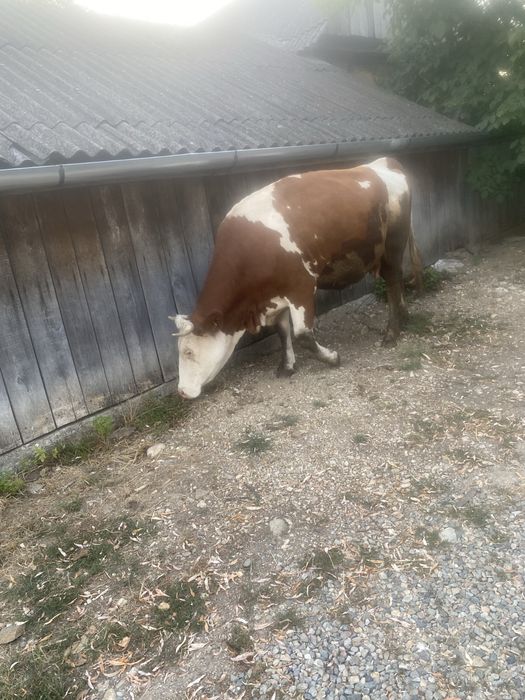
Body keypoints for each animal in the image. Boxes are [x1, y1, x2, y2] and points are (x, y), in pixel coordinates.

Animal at [171, 157, 422, 399]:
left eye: (188, 351)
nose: (182, 391)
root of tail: (381, 162)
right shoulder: (275, 295)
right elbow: (283, 333)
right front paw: (287, 366)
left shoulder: (301, 286)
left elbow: (302, 335)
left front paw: (332, 358)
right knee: (397, 284)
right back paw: (405, 316)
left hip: (392, 246)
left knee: (393, 283)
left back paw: (392, 333)